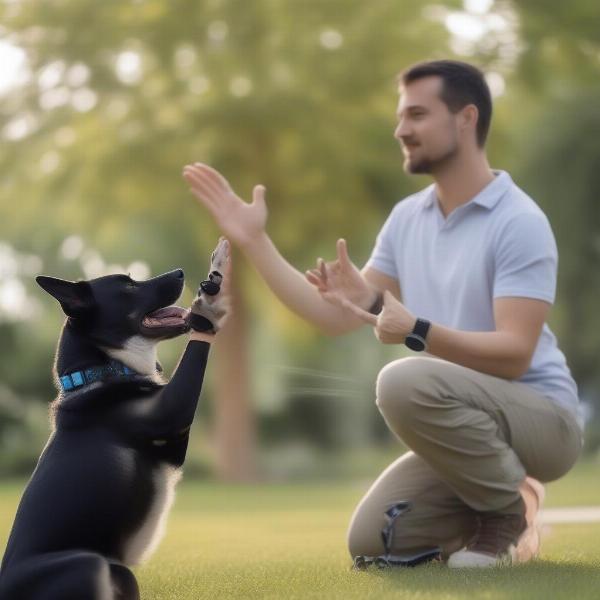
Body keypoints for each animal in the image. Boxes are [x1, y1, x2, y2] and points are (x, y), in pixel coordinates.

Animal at [0, 237, 230, 596]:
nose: (180, 272)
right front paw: (210, 301)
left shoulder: (172, 446)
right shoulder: (172, 412)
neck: (100, 372)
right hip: (90, 564)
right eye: (127, 286)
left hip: (120, 573)